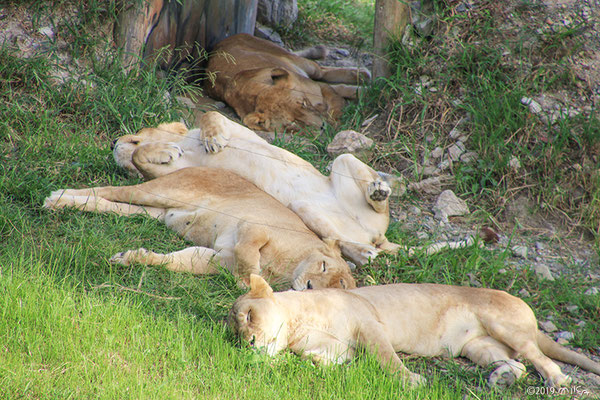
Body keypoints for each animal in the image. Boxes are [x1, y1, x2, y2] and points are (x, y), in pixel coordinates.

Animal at [45, 166, 356, 290]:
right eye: (324, 267)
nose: (309, 287)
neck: (287, 271)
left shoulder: (216, 258)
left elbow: (173, 262)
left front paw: (131, 257)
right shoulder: (254, 228)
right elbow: (248, 257)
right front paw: (249, 281)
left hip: (155, 212)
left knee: (110, 204)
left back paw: (66, 203)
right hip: (165, 191)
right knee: (110, 189)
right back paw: (57, 197)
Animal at [112, 111, 474, 272]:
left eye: (135, 130)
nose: (114, 141)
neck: (187, 145)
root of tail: (379, 236)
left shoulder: (235, 126)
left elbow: (209, 114)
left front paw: (210, 139)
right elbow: (143, 158)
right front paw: (157, 153)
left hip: (340, 163)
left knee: (371, 218)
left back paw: (378, 191)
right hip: (303, 207)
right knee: (353, 246)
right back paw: (362, 251)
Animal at [230, 276, 600, 388]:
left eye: (248, 315)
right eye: (233, 332)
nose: (247, 344)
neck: (296, 323)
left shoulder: (369, 324)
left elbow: (387, 358)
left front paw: (413, 381)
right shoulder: (341, 347)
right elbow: (326, 356)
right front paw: (316, 364)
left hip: (502, 323)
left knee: (536, 356)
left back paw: (557, 381)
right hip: (478, 346)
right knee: (519, 363)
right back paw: (501, 379)